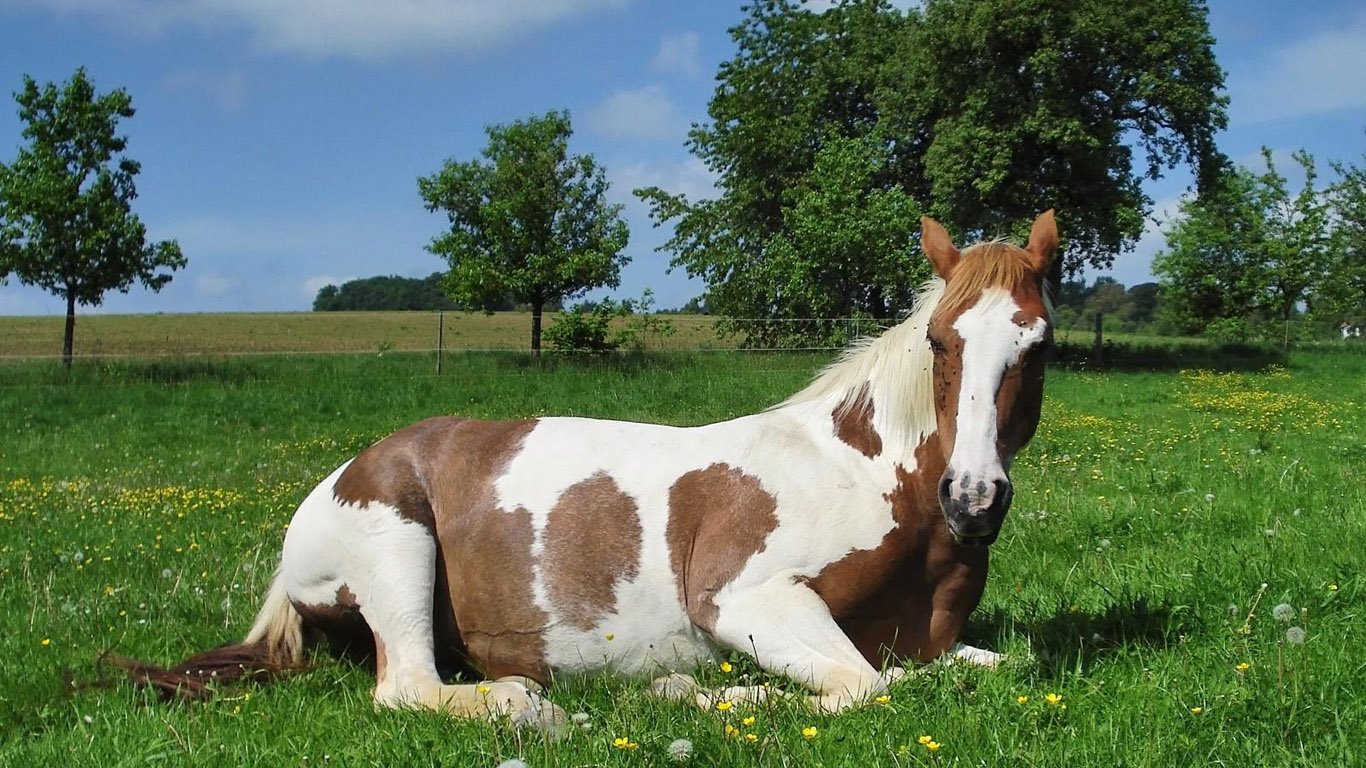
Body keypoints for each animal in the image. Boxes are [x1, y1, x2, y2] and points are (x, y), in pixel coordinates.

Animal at [128, 209, 1060, 727]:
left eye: (1038, 344)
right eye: (940, 341)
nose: (974, 501)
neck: (870, 479)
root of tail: (341, 478)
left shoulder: (930, 642)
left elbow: (975, 667)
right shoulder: (745, 599)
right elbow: (866, 686)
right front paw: (687, 693)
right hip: (398, 552)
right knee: (409, 689)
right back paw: (524, 704)